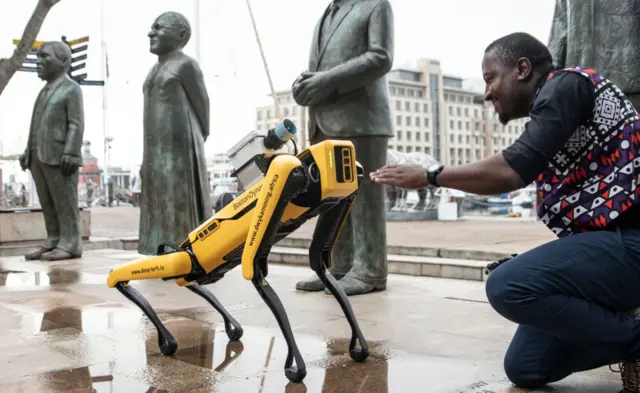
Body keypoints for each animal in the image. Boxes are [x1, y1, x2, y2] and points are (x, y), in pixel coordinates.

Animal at [107, 119, 370, 382]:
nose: (345, 160)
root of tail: (186, 250)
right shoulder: (284, 176)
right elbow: (255, 271)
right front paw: (295, 367)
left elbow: (319, 264)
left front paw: (358, 347)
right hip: (184, 261)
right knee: (131, 275)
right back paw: (163, 335)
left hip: (190, 269)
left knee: (188, 281)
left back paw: (226, 328)